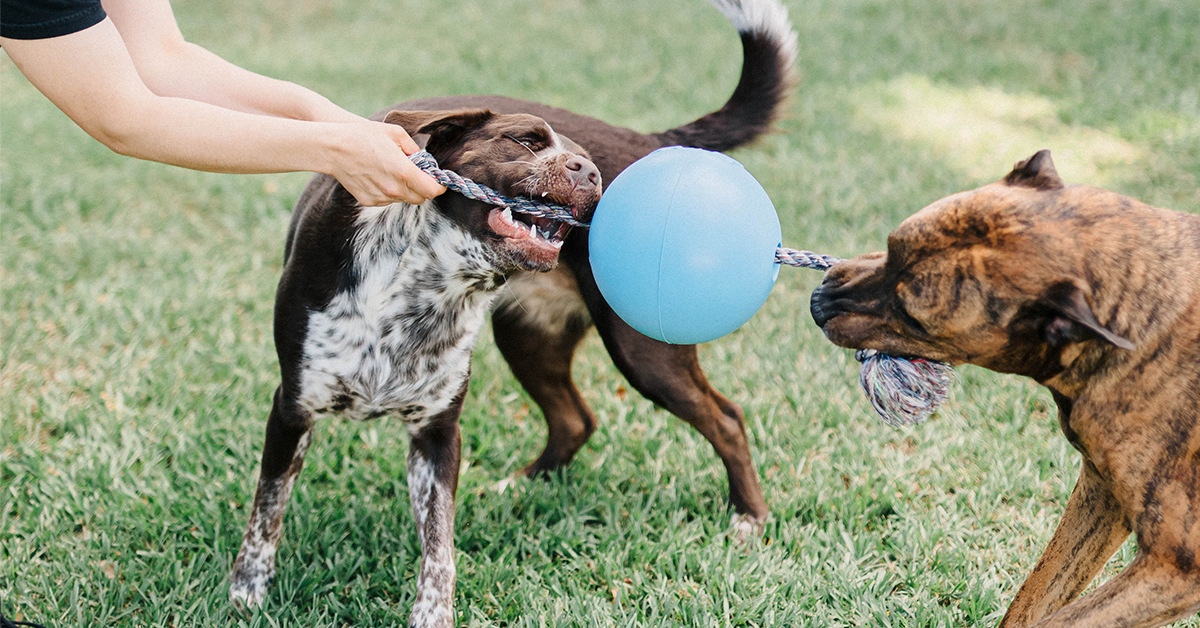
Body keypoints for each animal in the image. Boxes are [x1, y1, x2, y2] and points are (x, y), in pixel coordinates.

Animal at [806, 150, 1200, 624]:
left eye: (913, 318)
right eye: (890, 245)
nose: (817, 304)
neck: (1137, 313)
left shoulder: (1174, 565)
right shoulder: (1101, 494)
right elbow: (1033, 599)